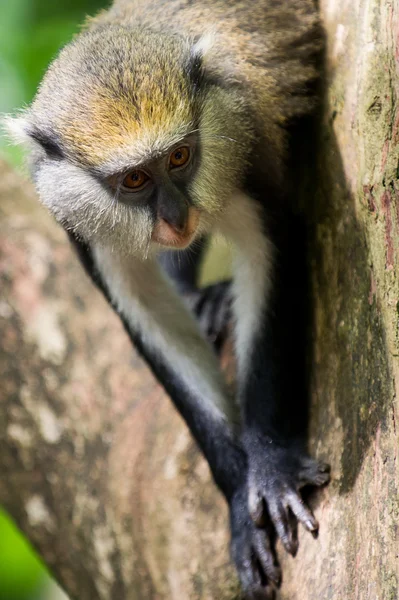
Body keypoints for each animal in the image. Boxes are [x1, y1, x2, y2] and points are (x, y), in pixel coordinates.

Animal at [5, 2, 332, 596]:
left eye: (180, 157)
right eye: (135, 179)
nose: (177, 218)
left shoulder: (245, 146)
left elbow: (271, 257)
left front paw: (271, 468)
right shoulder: (77, 221)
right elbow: (148, 318)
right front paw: (238, 496)